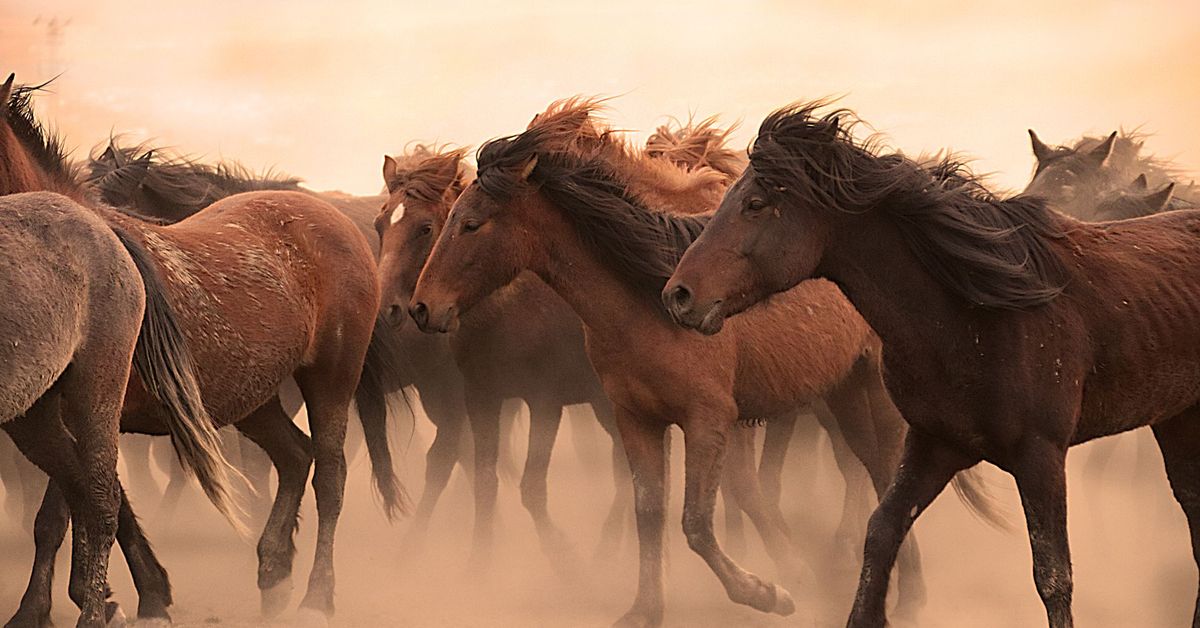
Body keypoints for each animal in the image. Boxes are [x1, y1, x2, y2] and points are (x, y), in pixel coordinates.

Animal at [376, 142, 626, 567]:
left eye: (425, 228)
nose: (385, 308)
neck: (509, 308)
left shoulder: (544, 401)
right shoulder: (481, 399)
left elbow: (529, 485)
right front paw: (480, 562)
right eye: (380, 225)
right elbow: (483, 480)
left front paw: (564, 559)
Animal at [409, 98, 1002, 626]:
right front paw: (644, 611)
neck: (646, 297)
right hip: (842, 395)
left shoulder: (709, 420)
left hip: (876, 397)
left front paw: (769, 594)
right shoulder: (636, 420)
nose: (421, 307)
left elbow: (696, 522)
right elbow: (650, 514)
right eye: (448, 219)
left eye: (471, 223)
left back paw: (911, 596)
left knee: (883, 475)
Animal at [665, 100, 1200, 627]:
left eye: (755, 204)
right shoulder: (933, 444)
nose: (679, 295)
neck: (976, 315)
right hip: (1176, 420)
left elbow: (1053, 576)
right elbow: (880, 534)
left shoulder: (1041, 454)